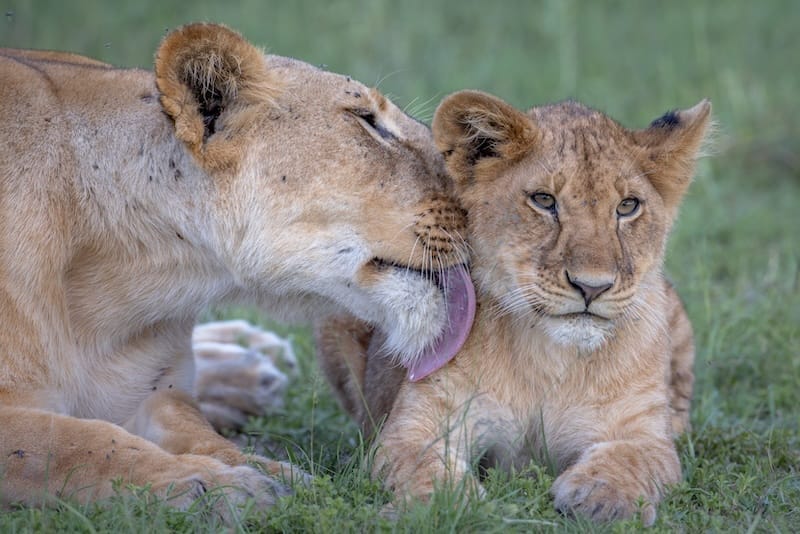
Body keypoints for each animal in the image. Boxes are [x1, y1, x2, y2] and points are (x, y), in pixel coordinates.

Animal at [0, 23, 476, 519]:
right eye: (367, 120)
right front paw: (214, 487)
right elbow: (74, 442)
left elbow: (191, 431)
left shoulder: (153, 395)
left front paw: (263, 474)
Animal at [316, 90, 710, 525]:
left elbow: (633, 459)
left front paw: (604, 499)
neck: (549, 358)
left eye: (627, 206)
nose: (592, 286)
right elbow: (423, 466)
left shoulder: (642, 433)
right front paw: (451, 503)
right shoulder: (417, 426)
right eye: (544, 200)